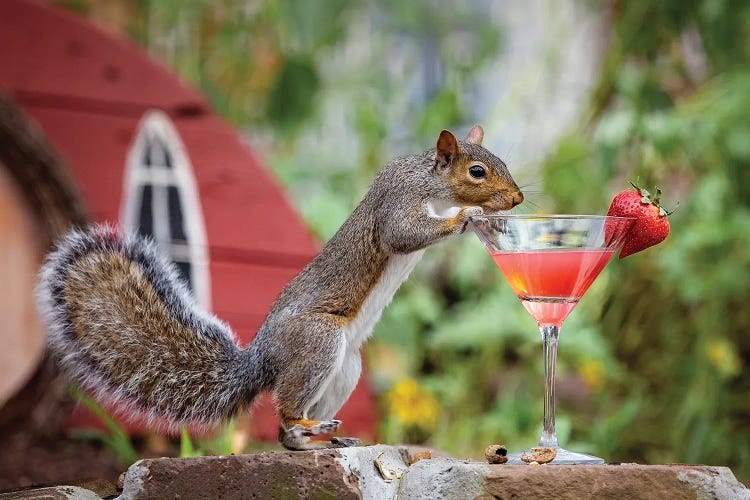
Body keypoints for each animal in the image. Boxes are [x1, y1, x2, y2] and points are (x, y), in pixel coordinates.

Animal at [36, 124, 524, 450]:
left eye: (502, 161)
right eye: (477, 171)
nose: (518, 199)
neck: (430, 182)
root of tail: (263, 358)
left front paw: (494, 224)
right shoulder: (397, 204)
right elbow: (404, 233)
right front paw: (467, 217)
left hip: (345, 367)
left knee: (285, 432)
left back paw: (320, 439)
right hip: (318, 342)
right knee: (286, 411)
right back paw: (309, 430)